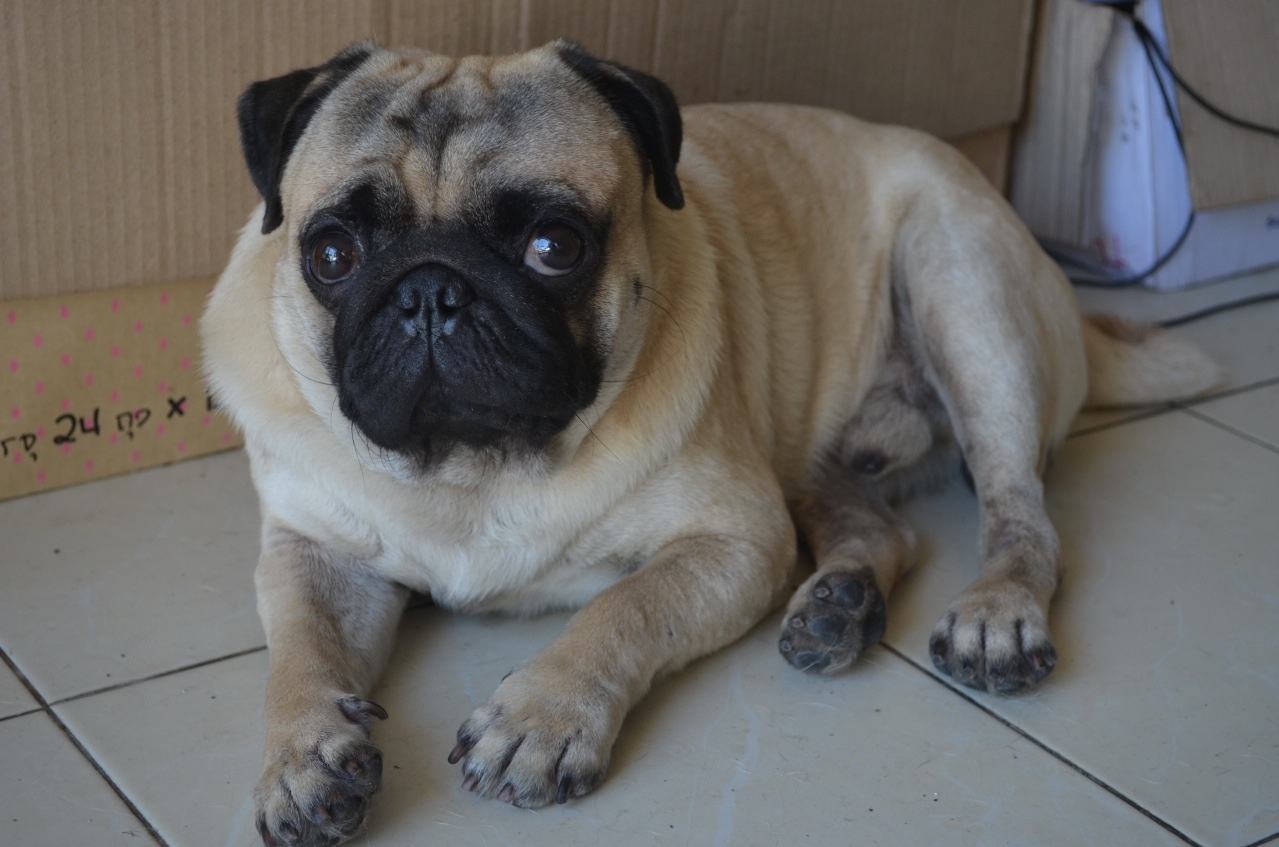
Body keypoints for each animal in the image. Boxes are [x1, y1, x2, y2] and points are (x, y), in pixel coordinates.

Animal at [202, 40, 1219, 846]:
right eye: (331, 254)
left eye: (554, 245)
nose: (430, 290)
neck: (473, 471)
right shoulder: (311, 552)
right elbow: (299, 652)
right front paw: (300, 755)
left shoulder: (736, 539)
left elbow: (619, 610)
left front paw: (541, 713)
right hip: (807, 451)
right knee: (883, 528)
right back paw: (839, 603)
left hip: (965, 297)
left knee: (1021, 516)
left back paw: (995, 614)